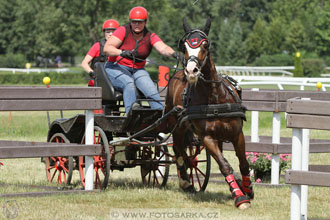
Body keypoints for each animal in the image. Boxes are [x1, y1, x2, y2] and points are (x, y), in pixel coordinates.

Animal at [165, 18, 253, 209]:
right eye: (185, 46)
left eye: (205, 45)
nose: (191, 71)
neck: (214, 97)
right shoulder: (207, 138)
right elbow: (224, 166)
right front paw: (240, 198)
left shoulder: (237, 134)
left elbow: (243, 163)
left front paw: (248, 189)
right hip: (177, 125)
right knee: (178, 149)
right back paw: (186, 182)